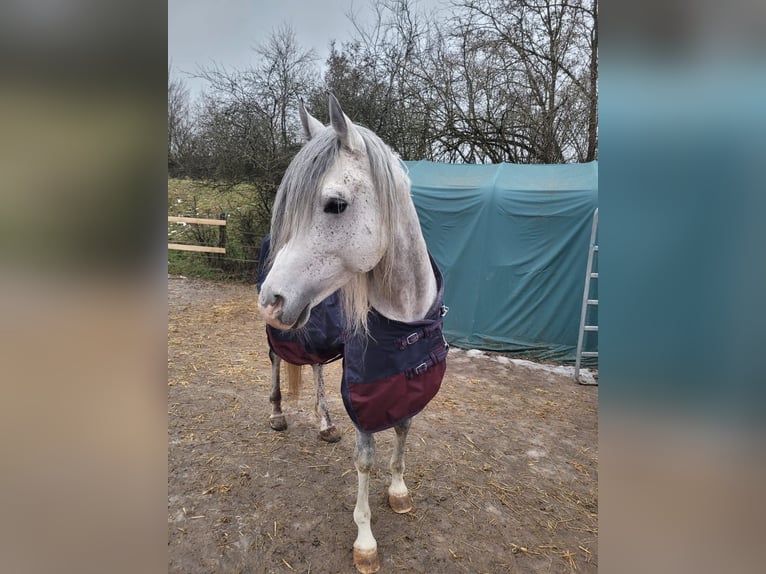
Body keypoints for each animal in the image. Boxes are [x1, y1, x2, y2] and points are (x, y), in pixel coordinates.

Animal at [258, 94, 448, 573]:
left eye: (335, 204)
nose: (270, 300)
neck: (406, 323)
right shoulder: (364, 398)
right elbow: (364, 460)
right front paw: (365, 541)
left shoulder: (406, 386)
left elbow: (403, 431)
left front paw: (398, 491)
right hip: (284, 335)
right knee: (276, 362)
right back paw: (277, 414)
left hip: (314, 333)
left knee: (316, 372)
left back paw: (325, 424)